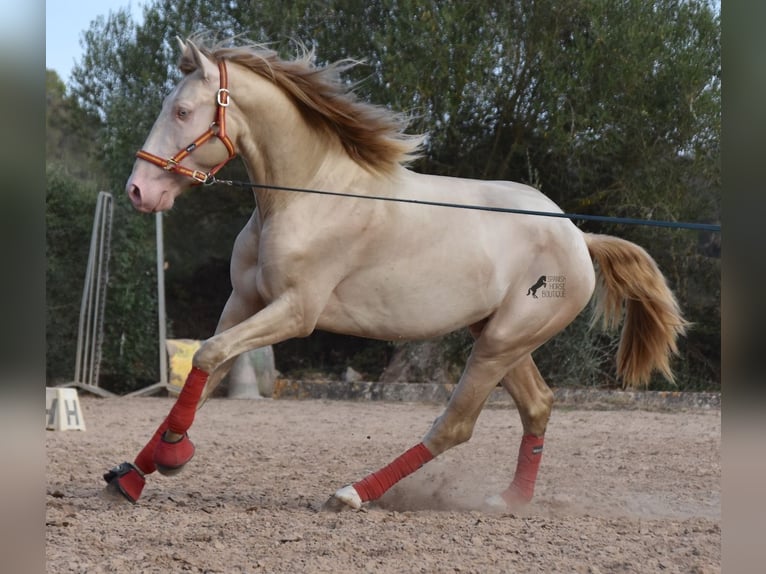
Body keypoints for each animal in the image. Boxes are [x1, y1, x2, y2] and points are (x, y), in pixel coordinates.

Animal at [103, 37, 688, 512]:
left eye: (183, 110)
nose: (138, 191)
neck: (307, 196)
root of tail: (577, 237)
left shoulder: (295, 311)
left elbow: (206, 357)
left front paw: (172, 455)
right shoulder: (243, 303)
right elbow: (207, 372)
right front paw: (135, 474)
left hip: (501, 342)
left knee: (456, 425)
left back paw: (352, 494)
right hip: (500, 339)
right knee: (538, 407)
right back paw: (510, 501)